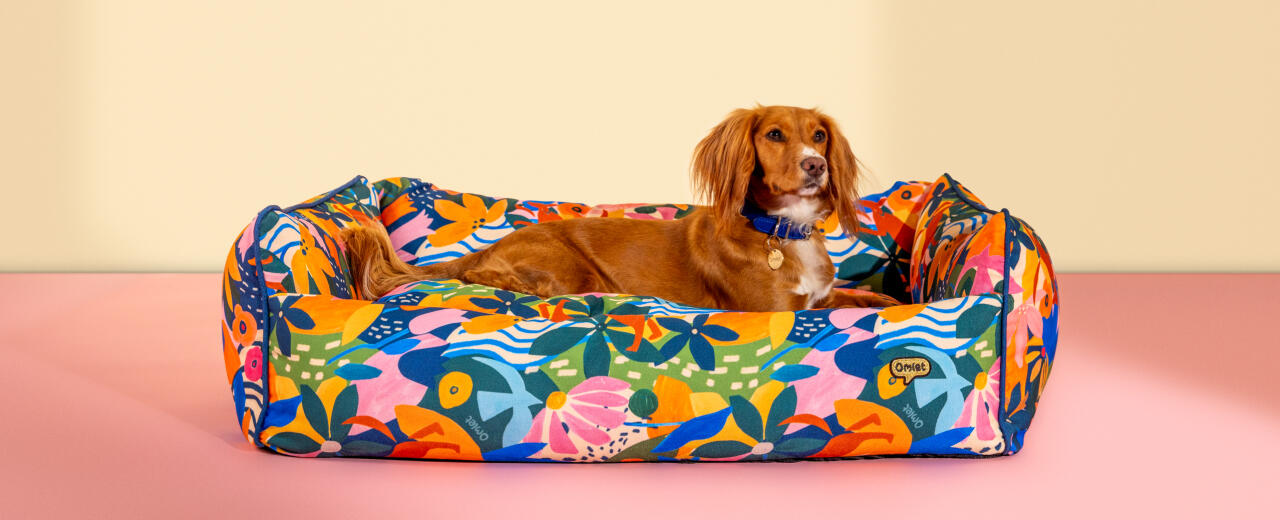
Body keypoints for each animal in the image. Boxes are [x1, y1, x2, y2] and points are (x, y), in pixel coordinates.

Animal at [340, 104, 901, 311]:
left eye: (820, 135)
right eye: (775, 135)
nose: (815, 166)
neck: (781, 230)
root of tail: (491, 245)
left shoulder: (821, 300)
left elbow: (861, 298)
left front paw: (892, 300)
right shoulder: (776, 313)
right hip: (567, 269)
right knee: (492, 280)